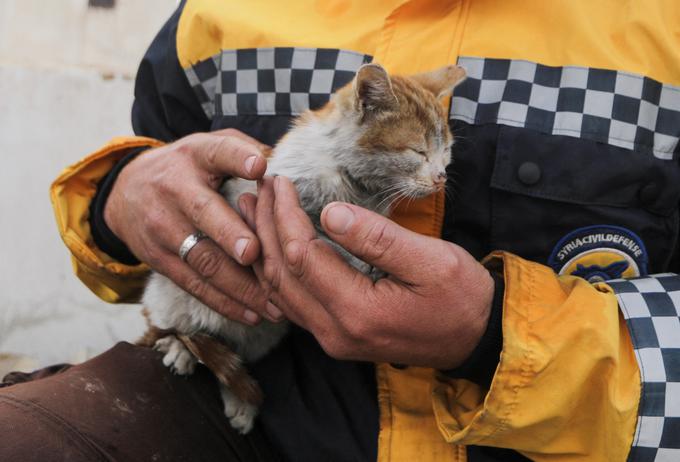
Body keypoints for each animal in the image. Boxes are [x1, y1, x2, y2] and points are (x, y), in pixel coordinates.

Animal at [140, 63, 464, 434]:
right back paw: (179, 346)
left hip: (264, 333)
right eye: (417, 151)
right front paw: (358, 261)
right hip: (170, 295)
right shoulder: (268, 201)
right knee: (176, 327)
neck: (357, 188)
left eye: (446, 151)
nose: (441, 177)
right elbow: (321, 236)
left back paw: (238, 398)